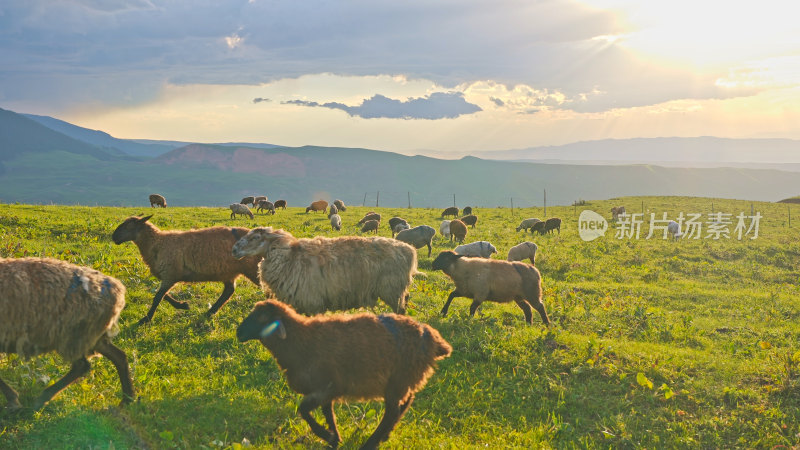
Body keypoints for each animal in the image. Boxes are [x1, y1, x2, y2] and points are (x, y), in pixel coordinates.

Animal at [0, 255, 134, 410]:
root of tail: (119, 292)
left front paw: (13, 400)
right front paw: (13, 399)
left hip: (73, 336)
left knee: (82, 366)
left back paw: (42, 398)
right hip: (91, 336)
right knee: (119, 357)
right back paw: (128, 399)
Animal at [111, 214, 260, 324]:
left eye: (129, 225)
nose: (114, 237)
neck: (157, 243)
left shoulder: (170, 273)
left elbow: (158, 296)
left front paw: (146, 319)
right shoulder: (169, 275)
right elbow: (163, 295)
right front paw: (183, 305)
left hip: (253, 269)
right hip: (228, 271)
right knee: (229, 291)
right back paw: (210, 312)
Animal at [231, 227, 418, 314]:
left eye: (255, 237)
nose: (233, 250)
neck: (289, 258)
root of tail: (409, 250)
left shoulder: (311, 301)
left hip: (392, 290)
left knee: (400, 309)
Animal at [236, 298, 450, 450]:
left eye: (262, 317)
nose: (238, 333)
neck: (301, 340)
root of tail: (433, 339)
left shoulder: (328, 386)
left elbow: (304, 410)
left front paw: (328, 436)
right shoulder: (325, 390)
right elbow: (327, 413)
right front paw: (334, 439)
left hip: (398, 379)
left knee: (392, 412)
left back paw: (371, 444)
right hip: (404, 380)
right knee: (404, 403)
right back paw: (384, 436)